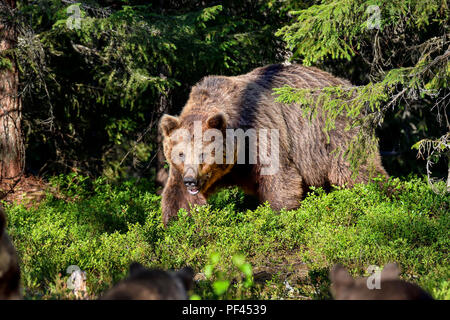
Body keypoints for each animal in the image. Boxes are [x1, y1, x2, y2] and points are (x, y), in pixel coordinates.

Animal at [160, 63, 388, 226]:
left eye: (203, 154)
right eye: (180, 154)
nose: (191, 181)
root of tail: (347, 85)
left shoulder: (261, 130)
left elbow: (279, 179)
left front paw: (278, 215)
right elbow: (177, 197)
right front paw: (175, 222)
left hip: (332, 130)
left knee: (357, 169)